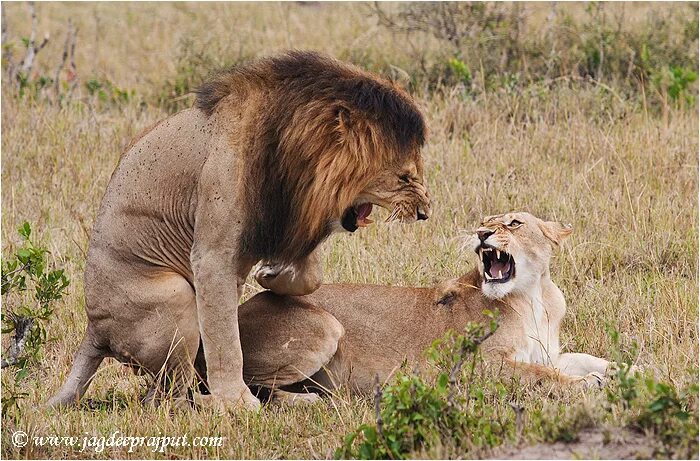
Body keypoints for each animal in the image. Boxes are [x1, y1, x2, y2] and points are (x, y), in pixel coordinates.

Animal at [47, 51, 426, 410]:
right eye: (405, 176)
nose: (424, 213)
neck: (293, 162)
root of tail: (95, 330)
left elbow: (311, 277)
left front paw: (272, 274)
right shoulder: (212, 256)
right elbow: (226, 340)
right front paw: (237, 403)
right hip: (175, 297)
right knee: (170, 397)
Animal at [228, 210, 612, 400]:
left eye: (514, 223)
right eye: (483, 223)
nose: (481, 234)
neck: (533, 297)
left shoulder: (546, 352)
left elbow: (581, 359)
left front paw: (620, 370)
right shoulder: (478, 366)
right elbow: (543, 375)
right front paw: (586, 384)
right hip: (326, 327)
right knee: (254, 386)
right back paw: (314, 400)